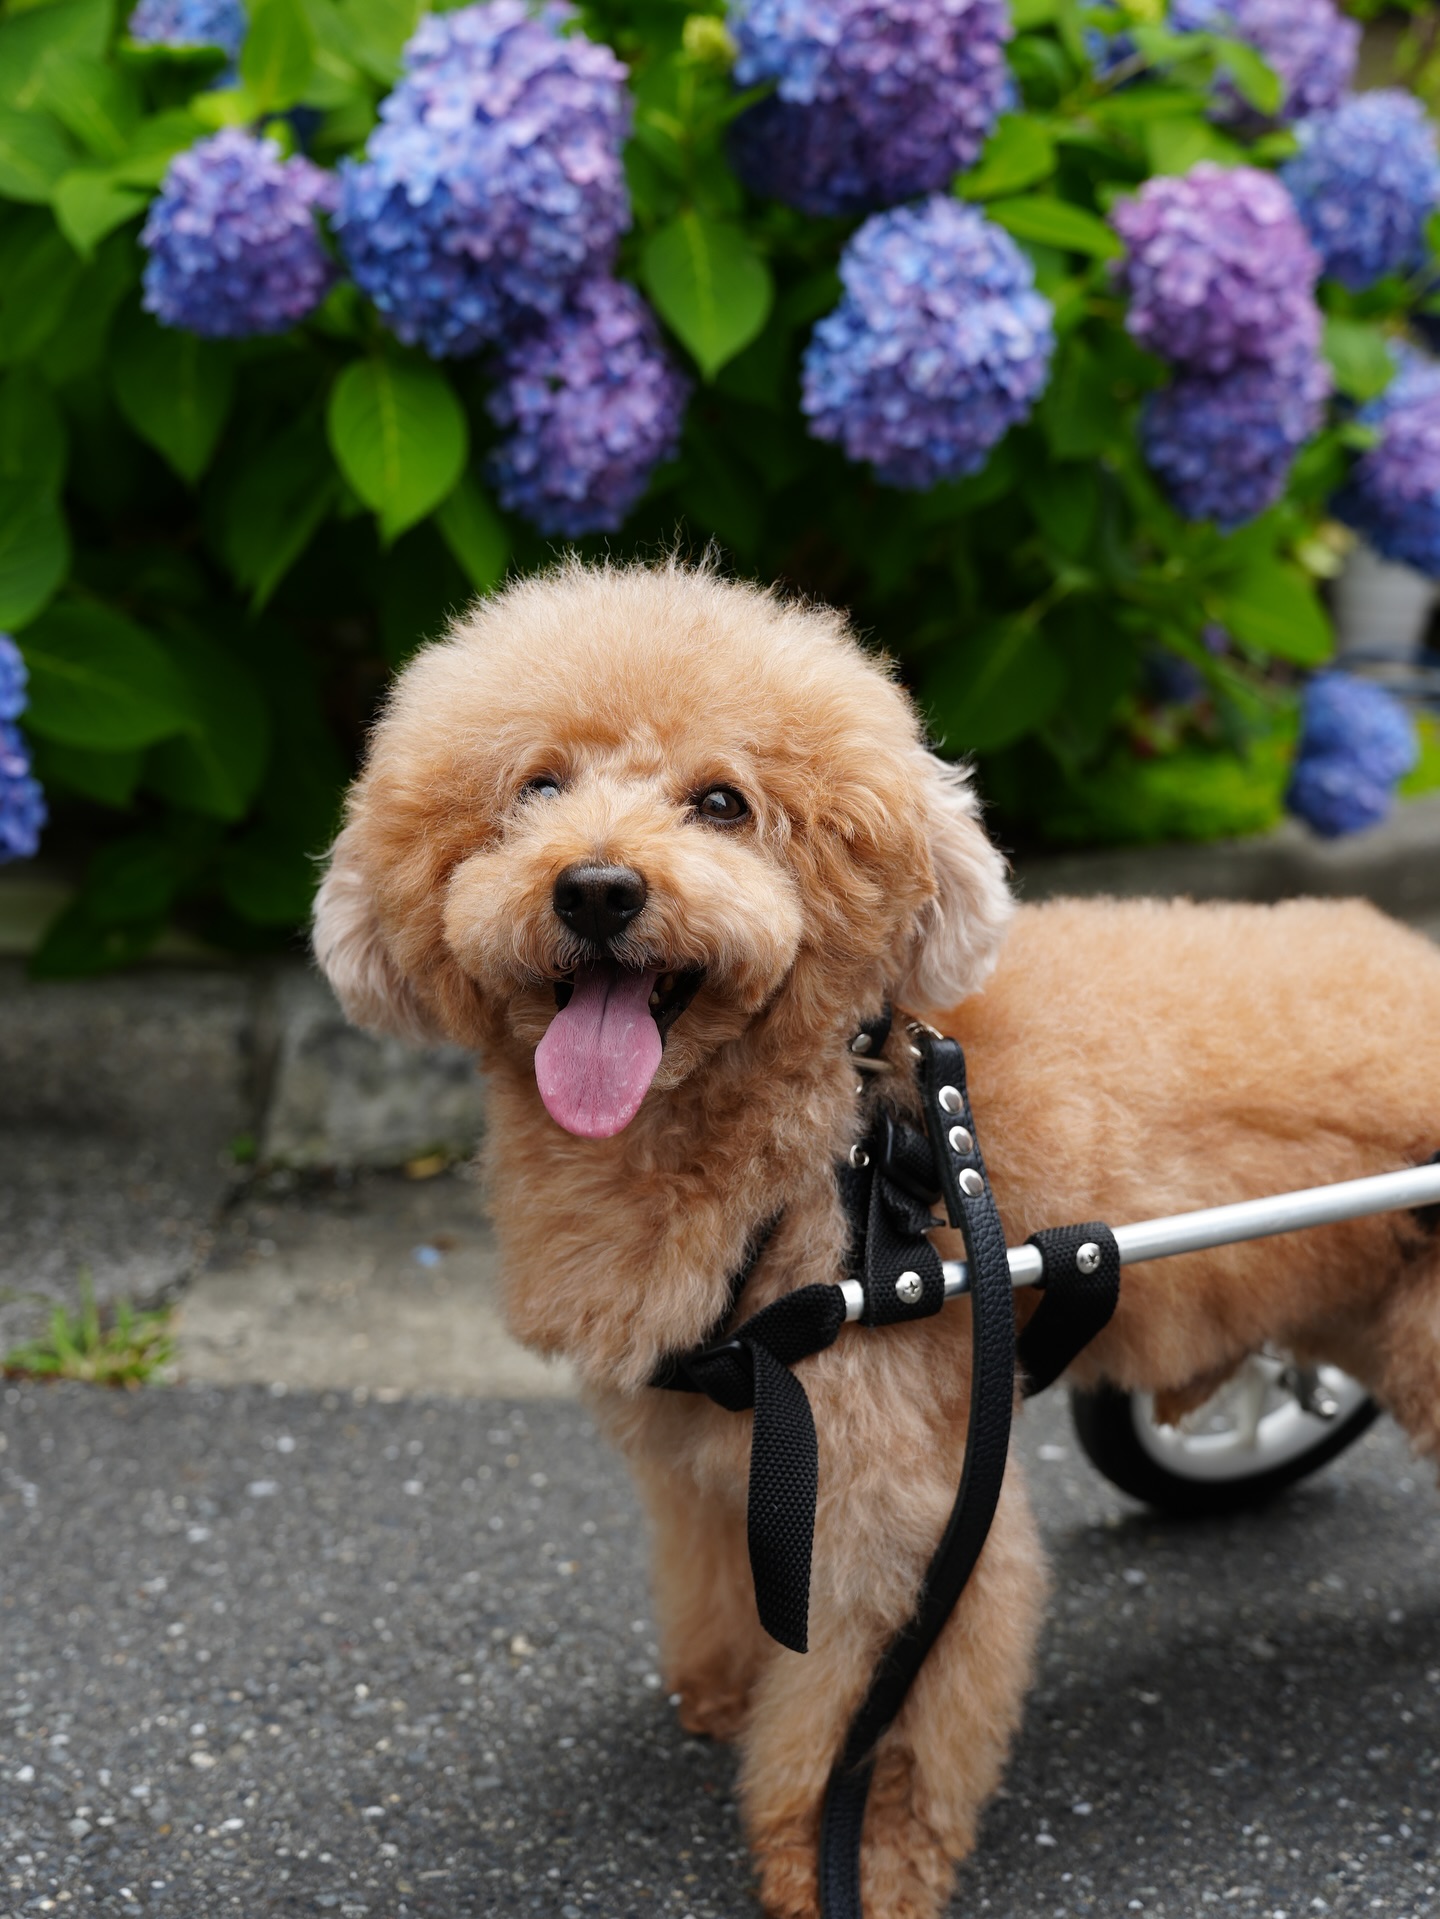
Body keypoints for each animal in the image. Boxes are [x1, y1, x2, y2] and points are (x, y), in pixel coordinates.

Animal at [313, 556, 1440, 1919]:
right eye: (535, 786)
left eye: (723, 803)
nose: (596, 886)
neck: (822, 1147)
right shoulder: (717, 1454)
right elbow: (728, 1585)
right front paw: (729, 1691)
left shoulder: (900, 1513)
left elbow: (876, 1722)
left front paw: (848, 1860)